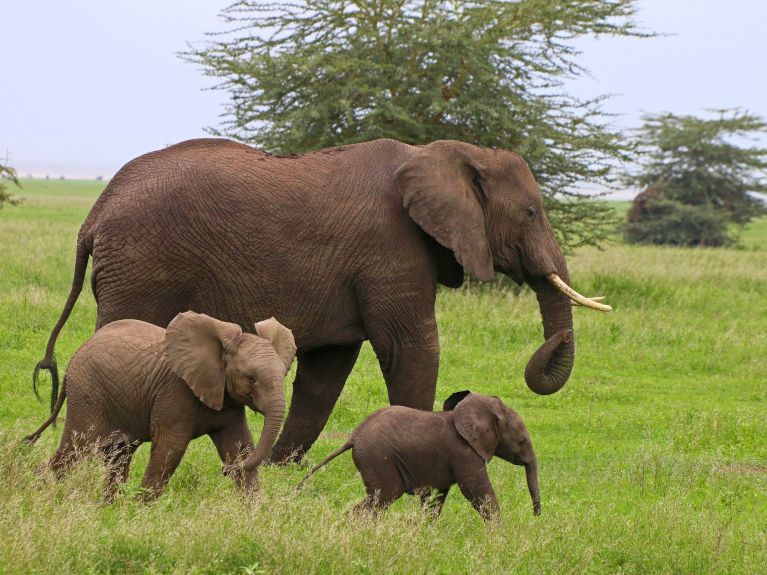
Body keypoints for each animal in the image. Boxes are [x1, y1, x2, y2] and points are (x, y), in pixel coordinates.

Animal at [25, 312, 296, 502]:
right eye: (251, 378)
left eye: (284, 374)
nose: (223, 471)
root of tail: (74, 356)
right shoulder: (175, 392)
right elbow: (170, 448)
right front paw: (140, 508)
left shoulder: (226, 398)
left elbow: (239, 446)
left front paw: (256, 509)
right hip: (88, 396)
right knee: (75, 448)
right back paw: (33, 490)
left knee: (118, 455)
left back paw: (107, 508)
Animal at [34, 137, 612, 466]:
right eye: (533, 212)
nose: (550, 344)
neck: (442, 154)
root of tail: (93, 214)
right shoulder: (391, 249)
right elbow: (410, 348)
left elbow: (329, 369)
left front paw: (279, 472)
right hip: (141, 268)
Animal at [298, 392, 540, 520]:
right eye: (521, 441)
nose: (536, 516)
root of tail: (354, 435)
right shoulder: (464, 452)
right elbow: (477, 492)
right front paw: (499, 534)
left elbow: (436, 497)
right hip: (377, 458)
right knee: (383, 496)